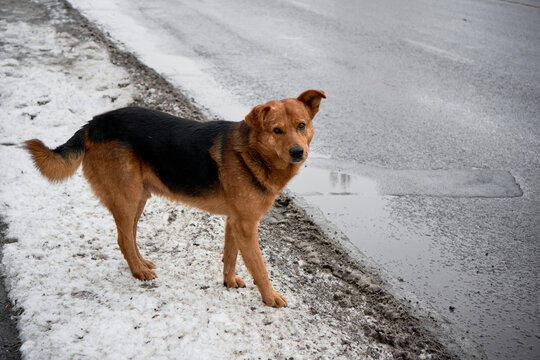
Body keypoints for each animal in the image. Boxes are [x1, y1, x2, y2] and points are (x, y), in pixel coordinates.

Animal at [24, 89, 324, 306]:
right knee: (123, 238)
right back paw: (139, 272)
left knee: (130, 236)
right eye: (276, 130)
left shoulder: (235, 223)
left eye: (301, 125)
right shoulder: (247, 226)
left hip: (139, 198)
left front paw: (228, 282)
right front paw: (270, 297)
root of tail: (94, 123)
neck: (253, 152)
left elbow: (230, 257)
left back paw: (141, 263)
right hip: (126, 198)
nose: (298, 152)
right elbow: (260, 268)